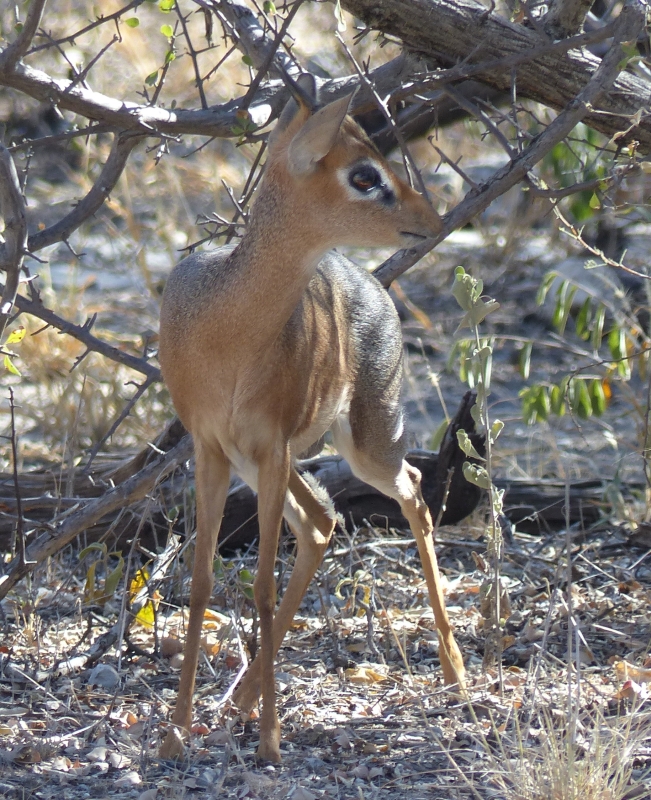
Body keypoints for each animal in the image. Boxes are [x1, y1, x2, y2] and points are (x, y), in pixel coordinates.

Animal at [158, 75, 466, 764]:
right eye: (363, 175)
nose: (432, 221)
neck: (229, 330)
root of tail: (371, 285)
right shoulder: (210, 449)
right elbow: (200, 581)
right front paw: (174, 734)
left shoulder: (270, 447)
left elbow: (262, 588)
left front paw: (271, 743)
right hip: (270, 460)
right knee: (323, 520)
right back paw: (239, 701)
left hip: (364, 442)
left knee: (411, 493)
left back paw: (456, 671)